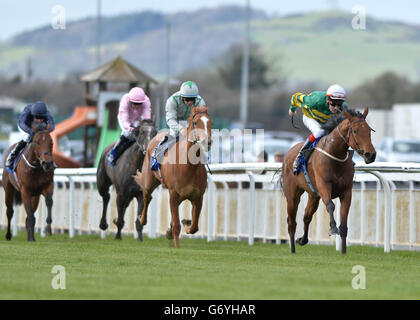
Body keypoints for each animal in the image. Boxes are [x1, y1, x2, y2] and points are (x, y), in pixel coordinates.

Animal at [135, 106, 213, 249]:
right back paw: (142, 219)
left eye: (210, 122)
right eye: (195, 123)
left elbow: (194, 226)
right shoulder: (173, 194)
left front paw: (185, 225)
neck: (189, 167)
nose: (207, 142)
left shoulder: (198, 196)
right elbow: (177, 225)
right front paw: (177, 245)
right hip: (149, 180)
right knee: (147, 196)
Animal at [284, 109, 376, 254]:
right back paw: (292, 250)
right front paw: (333, 228)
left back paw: (302, 240)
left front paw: (343, 252)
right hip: (292, 195)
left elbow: (344, 223)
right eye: (355, 131)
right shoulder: (324, 186)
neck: (335, 155)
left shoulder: (346, 192)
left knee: (306, 216)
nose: (371, 155)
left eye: (369, 130)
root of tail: (288, 153)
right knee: (292, 222)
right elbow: (330, 205)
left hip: (313, 196)